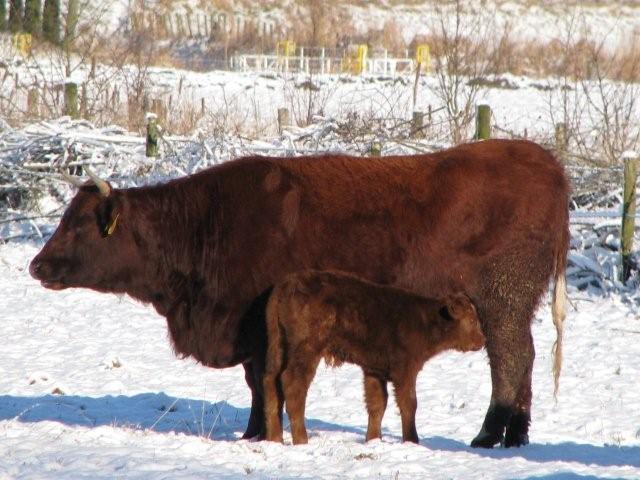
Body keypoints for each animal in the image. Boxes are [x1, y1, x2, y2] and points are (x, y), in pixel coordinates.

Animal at [262, 272, 482, 444]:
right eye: (472, 320)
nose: (481, 341)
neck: (424, 320)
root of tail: (287, 285)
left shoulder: (374, 369)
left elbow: (377, 403)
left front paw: (373, 439)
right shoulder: (404, 370)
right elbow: (409, 404)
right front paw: (412, 440)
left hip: (278, 347)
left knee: (271, 381)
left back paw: (275, 439)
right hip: (306, 350)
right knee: (293, 384)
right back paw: (301, 439)